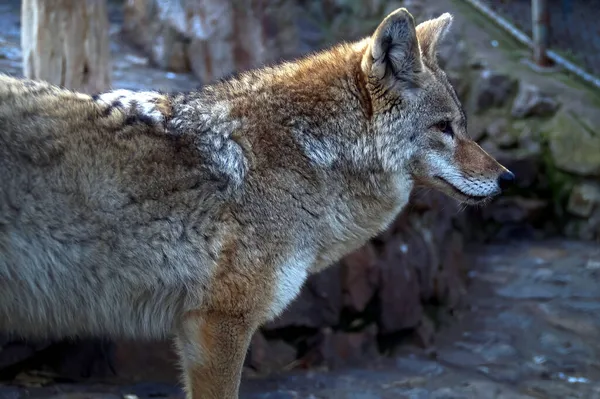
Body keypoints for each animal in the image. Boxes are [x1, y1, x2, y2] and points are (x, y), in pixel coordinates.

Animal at [0, 7, 512, 399]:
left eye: (463, 126)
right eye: (444, 128)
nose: (507, 179)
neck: (309, 154)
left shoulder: (197, 326)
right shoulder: (220, 324)